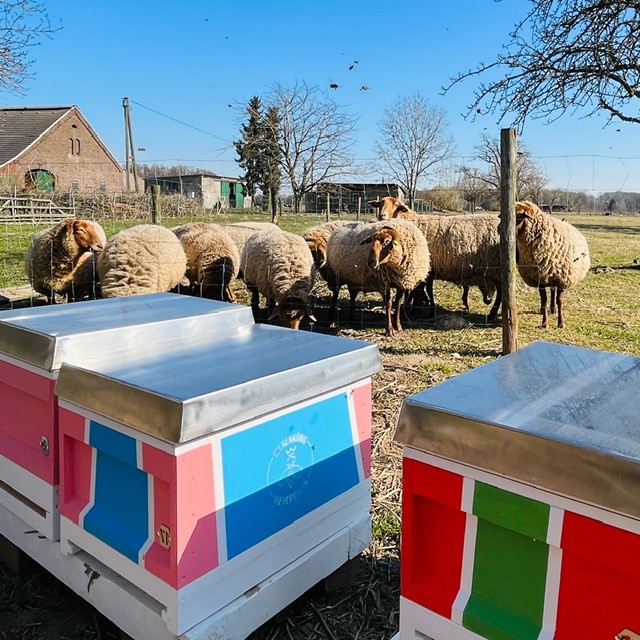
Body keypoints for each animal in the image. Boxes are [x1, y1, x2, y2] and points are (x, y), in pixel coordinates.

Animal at [516, 201, 592, 330]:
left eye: (519, 217)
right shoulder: (540, 278)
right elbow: (544, 300)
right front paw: (545, 323)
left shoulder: (562, 279)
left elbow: (559, 301)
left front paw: (561, 323)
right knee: (551, 291)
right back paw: (549, 309)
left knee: (553, 291)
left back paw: (553, 310)